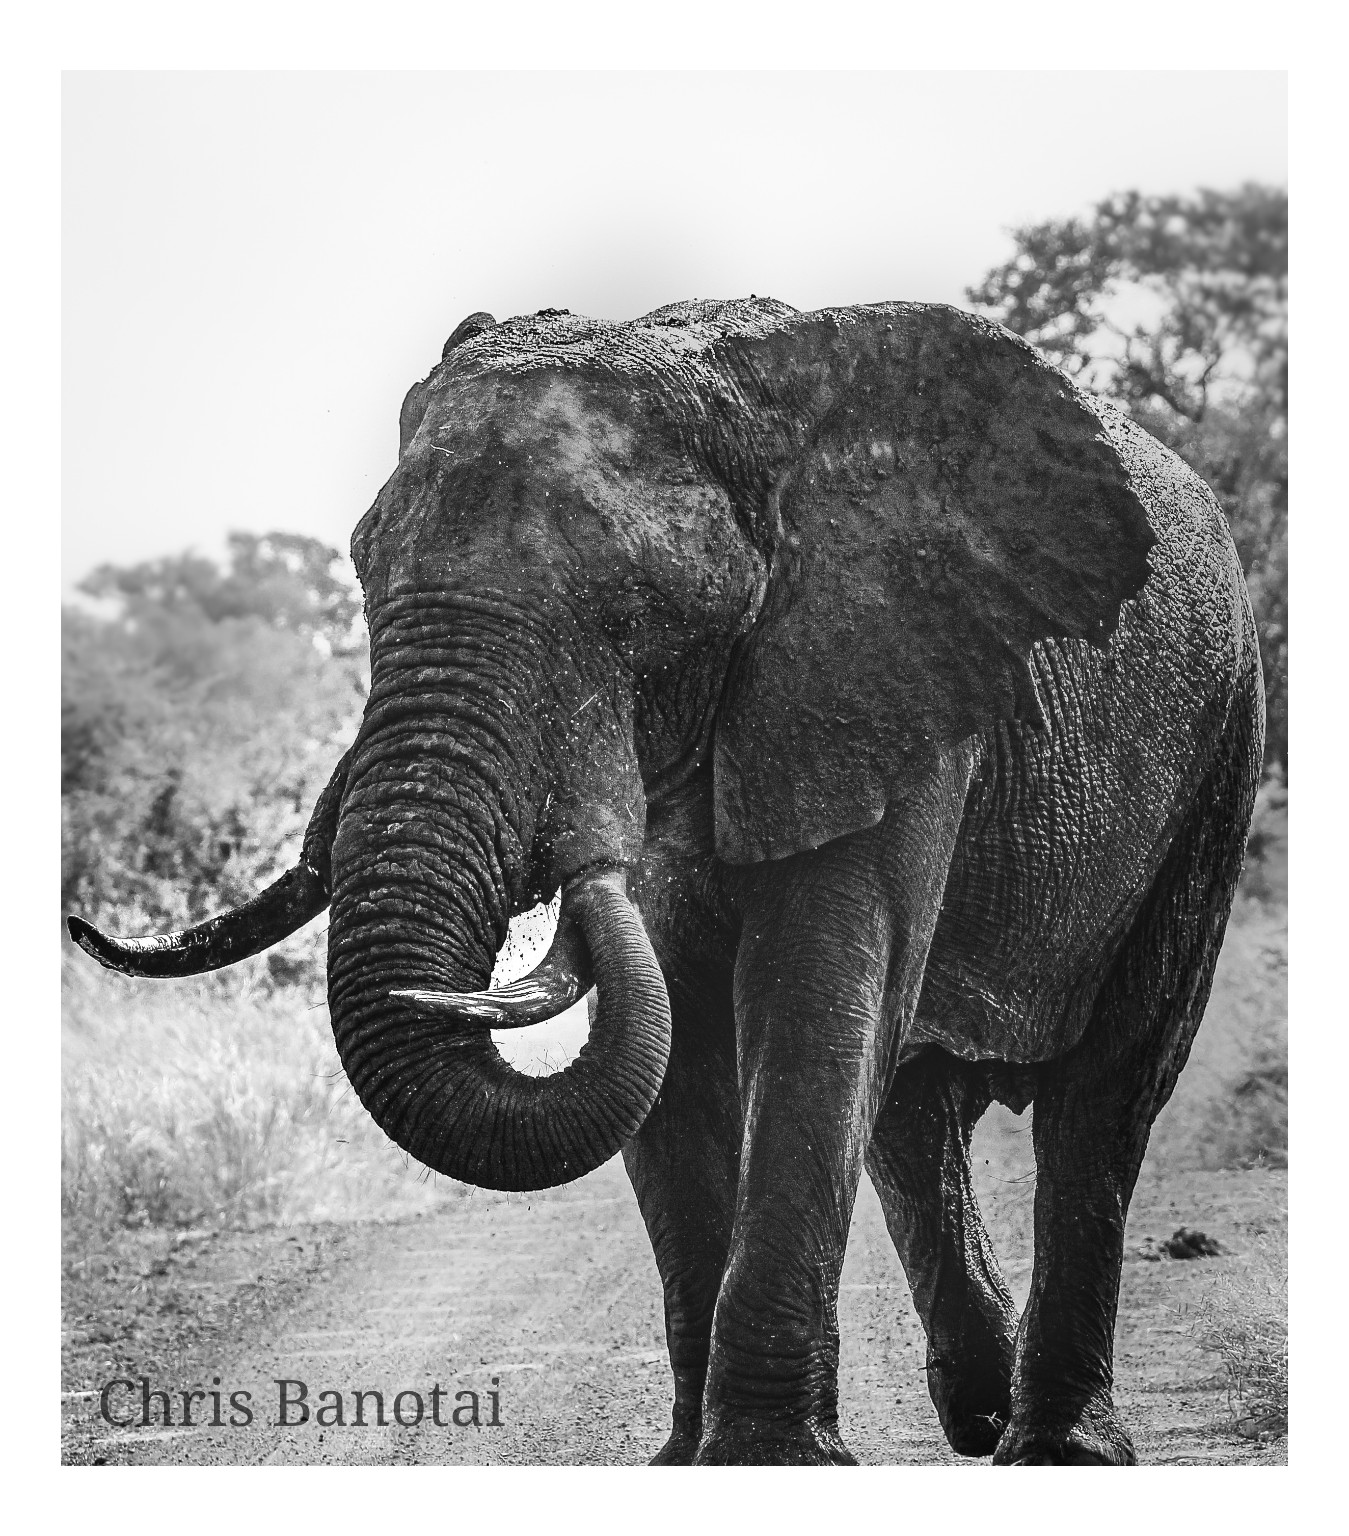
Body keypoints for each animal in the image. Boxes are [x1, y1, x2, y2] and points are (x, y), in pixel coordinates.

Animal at [69, 296, 1264, 1466]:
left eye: (638, 614)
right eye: (364, 570)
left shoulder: (883, 677)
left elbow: (814, 998)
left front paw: (770, 1460)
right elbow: (681, 1043)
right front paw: (689, 1459)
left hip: (1220, 743)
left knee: (1104, 1096)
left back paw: (1057, 1446)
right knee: (911, 1108)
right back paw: (977, 1411)